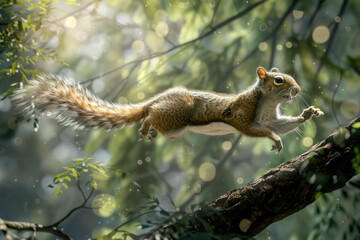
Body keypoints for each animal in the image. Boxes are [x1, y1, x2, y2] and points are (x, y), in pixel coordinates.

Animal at [12, 66, 324, 153]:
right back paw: (145, 125)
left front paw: (308, 114)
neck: (267, 101)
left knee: (155, 122)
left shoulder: (271, 118)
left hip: (175, 130)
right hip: (177, 113)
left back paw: (148, 132)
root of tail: (157, 99)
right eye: (278, 80)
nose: (297, 90)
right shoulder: (242, 114)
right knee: (151, 115)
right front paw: (275, 140)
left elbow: (281, 125)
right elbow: (255, 130)